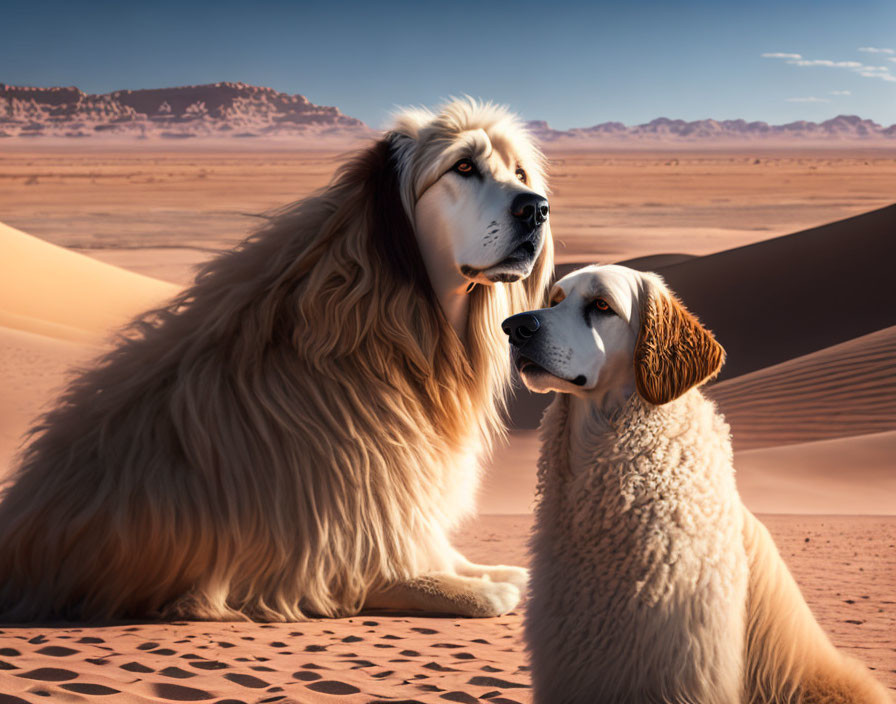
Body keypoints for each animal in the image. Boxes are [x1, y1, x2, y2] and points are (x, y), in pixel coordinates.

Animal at [0, 99, 552, 620]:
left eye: (520, 174)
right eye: (463, 166)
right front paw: (477, 587)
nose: (537, 209)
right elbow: (423, 578)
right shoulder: (331, 555)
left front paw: (490, 569)